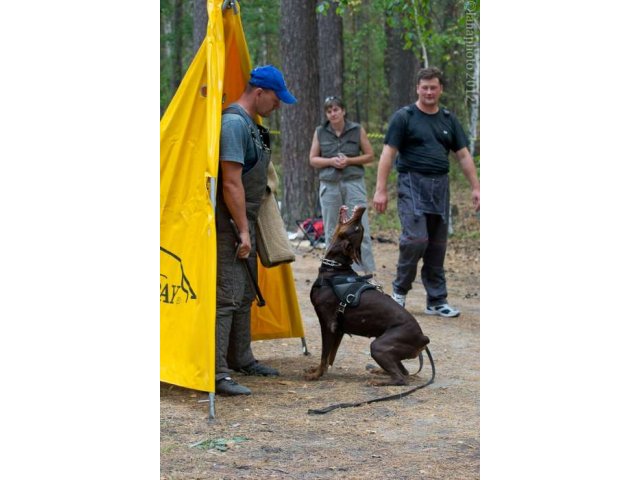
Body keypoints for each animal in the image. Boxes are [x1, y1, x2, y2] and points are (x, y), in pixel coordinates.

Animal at [304, 205, 430, 386]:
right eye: (359, 228)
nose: (363, 208)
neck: (335, 270)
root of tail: (423, 338)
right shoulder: (339, 329)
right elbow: (329, 357)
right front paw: (318, 370)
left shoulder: (328, 324)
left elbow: (324, 355)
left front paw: (316, 375)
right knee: (403, 371)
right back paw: (379, 371)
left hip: (379, 346)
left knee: (400, 378)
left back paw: (378, 381)